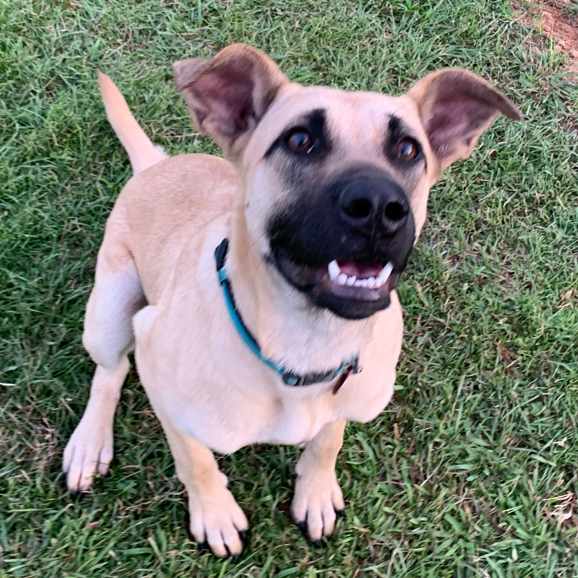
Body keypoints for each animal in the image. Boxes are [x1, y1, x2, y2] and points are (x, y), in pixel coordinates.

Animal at [60, 45, 520, 560]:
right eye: (300, 140)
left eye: (407, 149)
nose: (380, 207)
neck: (306, 343)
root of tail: (154, 166)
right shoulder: (164, 384)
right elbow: (195, 460)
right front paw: (214, 513)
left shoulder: (343, 397)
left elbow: (327, 442)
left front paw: (314, 492)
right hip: (111, 311)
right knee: (111, 371)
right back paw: (90, 442)